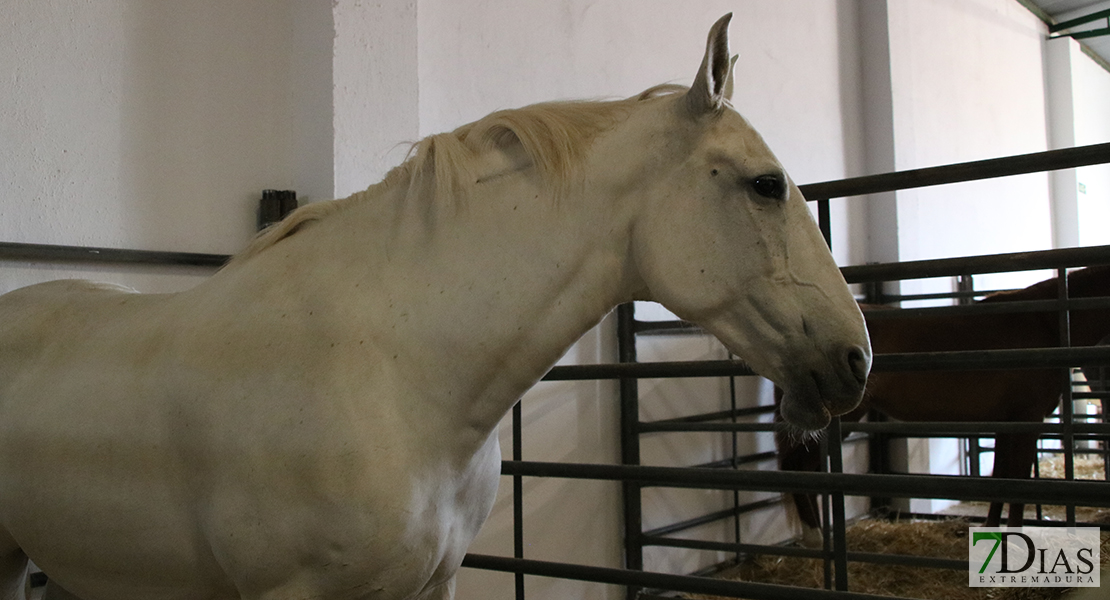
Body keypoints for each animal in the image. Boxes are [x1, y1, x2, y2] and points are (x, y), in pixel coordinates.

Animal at [777, 263, 1110, 536]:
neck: (1047, 323)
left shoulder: (1008, 422)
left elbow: (1001, 476)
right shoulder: (1027, 420)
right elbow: (1019, 480)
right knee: (798, 467)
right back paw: (815, 539)